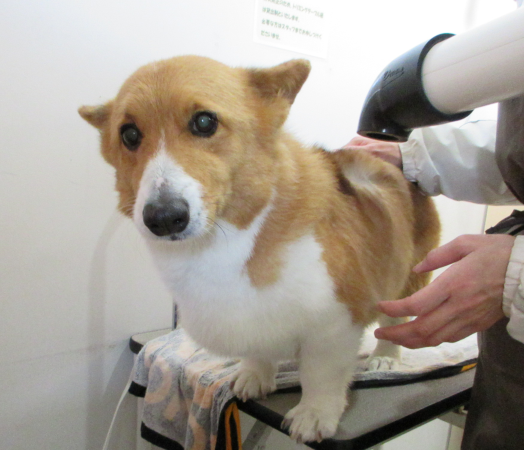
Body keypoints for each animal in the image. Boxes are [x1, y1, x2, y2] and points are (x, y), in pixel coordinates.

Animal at [79, 56, 440, 443]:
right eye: (129, 134)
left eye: (204, 122)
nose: (163, 218)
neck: (227, 239)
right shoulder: (249, 318)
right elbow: (256, 351)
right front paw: (253, 376)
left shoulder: (335, 322)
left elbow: (321, 374)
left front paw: (314, 415)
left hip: (408, 279)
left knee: (394, 318)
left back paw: (386, 356)